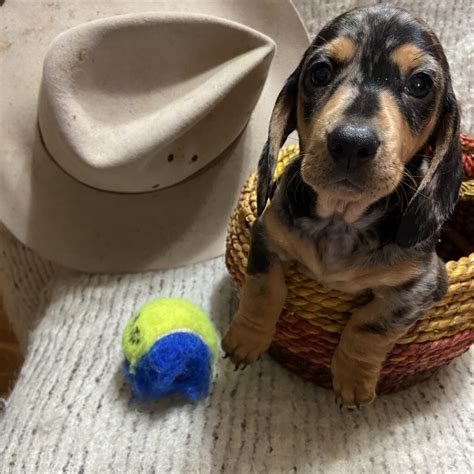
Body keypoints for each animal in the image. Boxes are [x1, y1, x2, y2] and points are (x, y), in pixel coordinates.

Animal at [222, 4, 462, 408]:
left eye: (420, 84)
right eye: (320, 72)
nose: (352, 143)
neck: (341, 218)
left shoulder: (424, 284)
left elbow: (370, 324)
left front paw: (353, 378)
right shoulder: (267, 236)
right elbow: (263, 289)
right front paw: (246, 338)